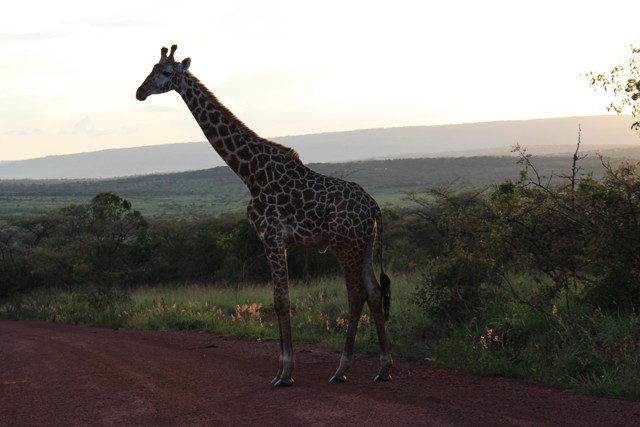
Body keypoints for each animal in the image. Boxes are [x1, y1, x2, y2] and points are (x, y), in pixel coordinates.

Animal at [138, 45, 392, 386]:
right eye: (151, 69)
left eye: (166, 72)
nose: (139, 92)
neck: (250, 172)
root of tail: (374, 206)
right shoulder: (274, 242)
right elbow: (275, 300)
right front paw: (280, 370)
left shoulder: (272, 237)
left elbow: (282, 302)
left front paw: (285, 374)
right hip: (364, 244)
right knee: (374, 292)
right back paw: (383, 368)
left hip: (345, 244)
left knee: (356, 293)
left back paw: (341, 370)